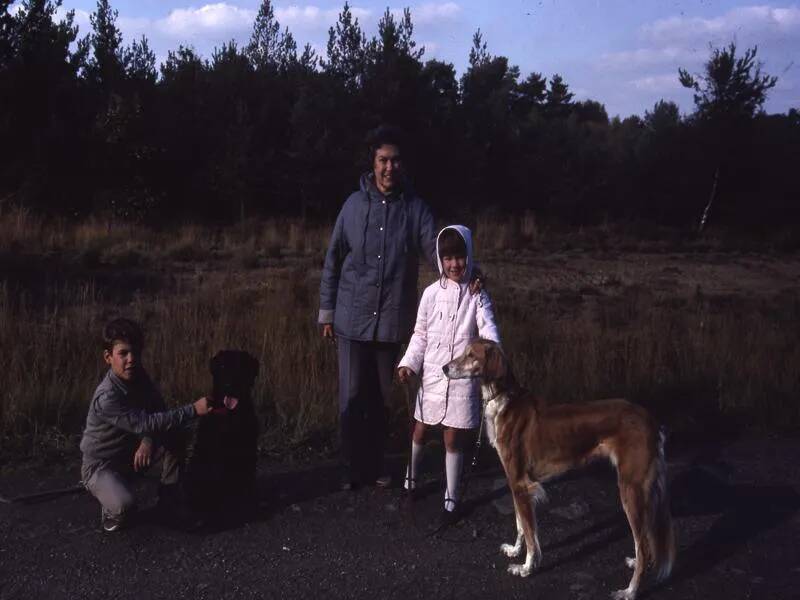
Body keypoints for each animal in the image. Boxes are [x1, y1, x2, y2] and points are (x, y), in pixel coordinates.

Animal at [187, 350, 260, 516]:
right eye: (222, 367)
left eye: (239, 367)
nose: (228, 385)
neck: (231, 415)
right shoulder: (216, 454)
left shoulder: (248, 450)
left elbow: (246, 482)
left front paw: (246, 506)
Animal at [444, 340, 676, 596]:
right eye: (464, 352)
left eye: (471, 355)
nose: (444, 368)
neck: (505, 401)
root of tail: (650, 420)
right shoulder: (515, 484)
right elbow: (520, 525)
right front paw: (515, 551)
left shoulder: (521, 483)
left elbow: (530, 533)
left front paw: (526, 568)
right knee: (645, 540)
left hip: (630, 489)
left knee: (642, 545)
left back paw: (629, 591)